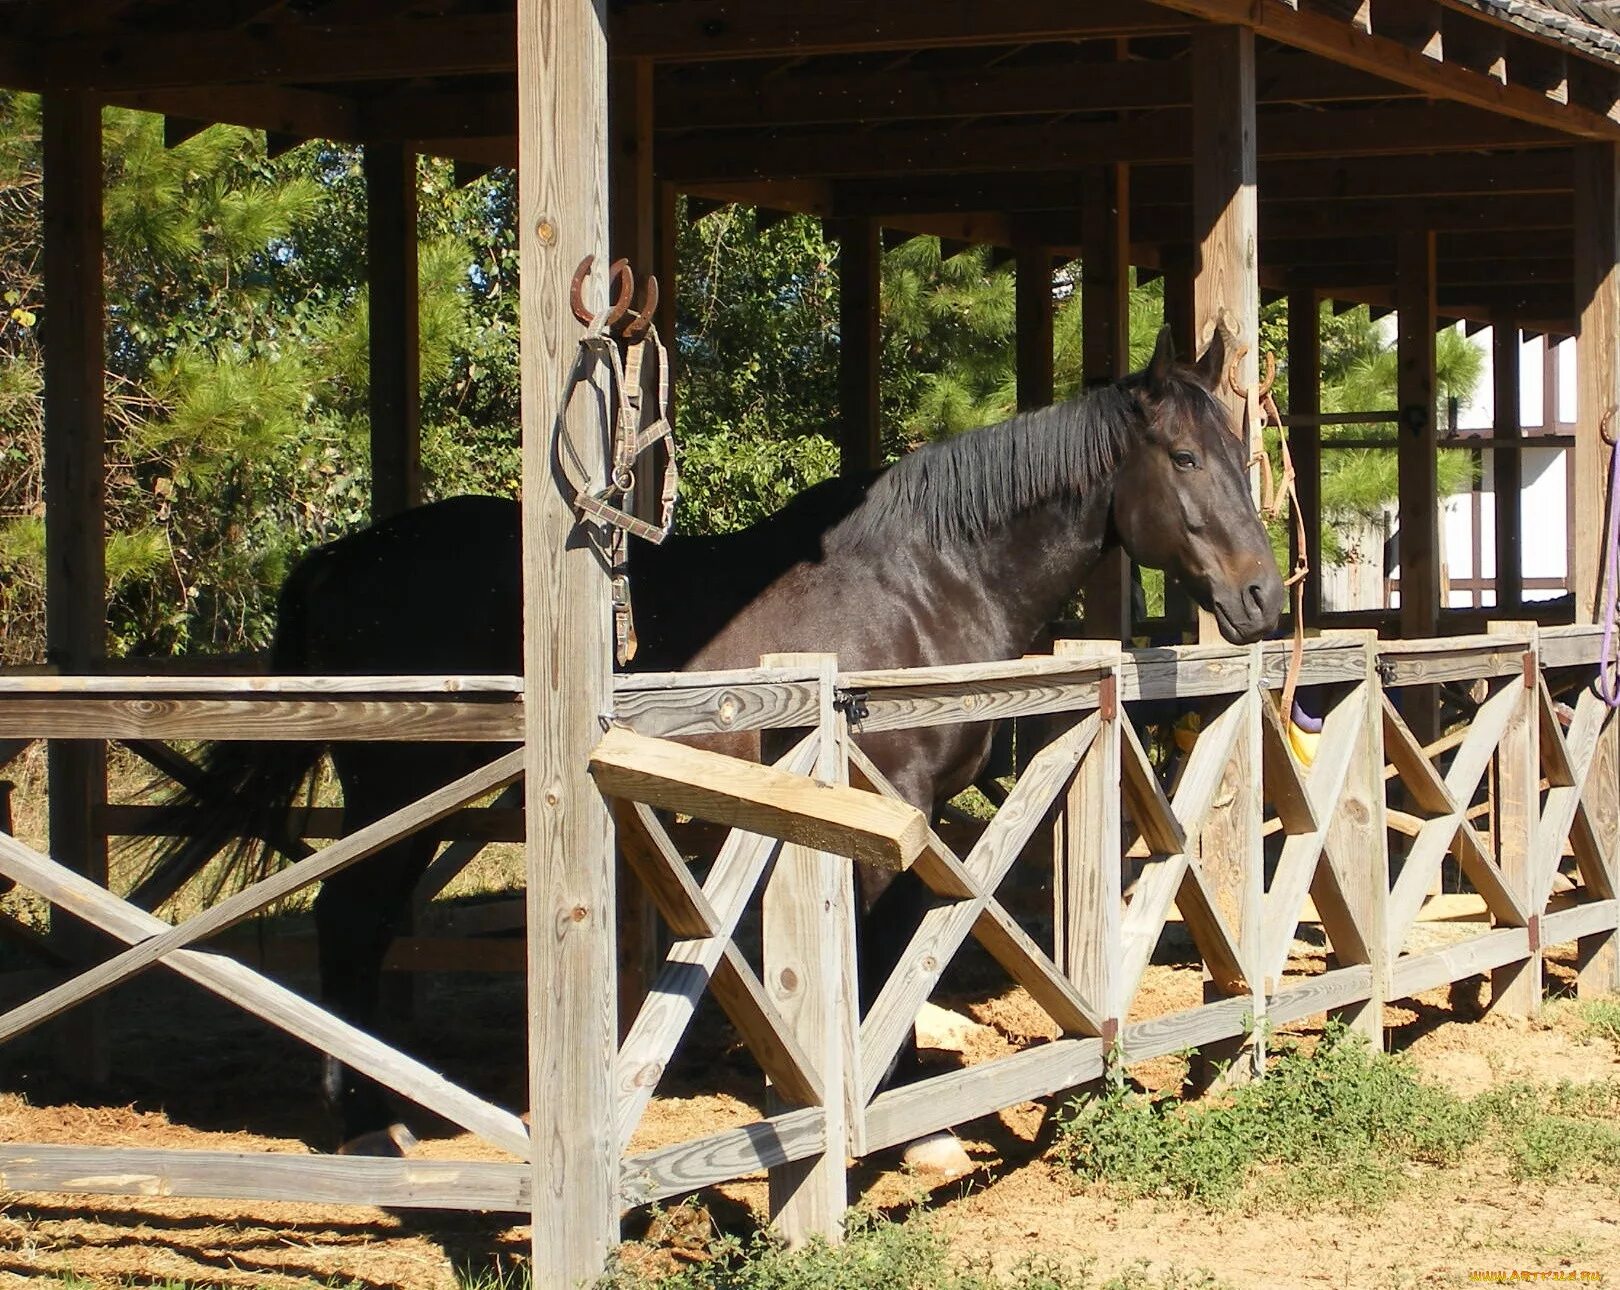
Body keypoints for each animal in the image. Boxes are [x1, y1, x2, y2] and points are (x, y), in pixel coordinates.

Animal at [136, 327, 1276, 1153]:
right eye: (1182, 457)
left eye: (1240, 455)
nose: (1266, 596)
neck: (925, 584)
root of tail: (344, 557)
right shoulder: (878, 815)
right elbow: (872, 968)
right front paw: (898, 1132)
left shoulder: (922, 826)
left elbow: (905, 956)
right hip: (393, 793)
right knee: (351, 920)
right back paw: (371, 1124)